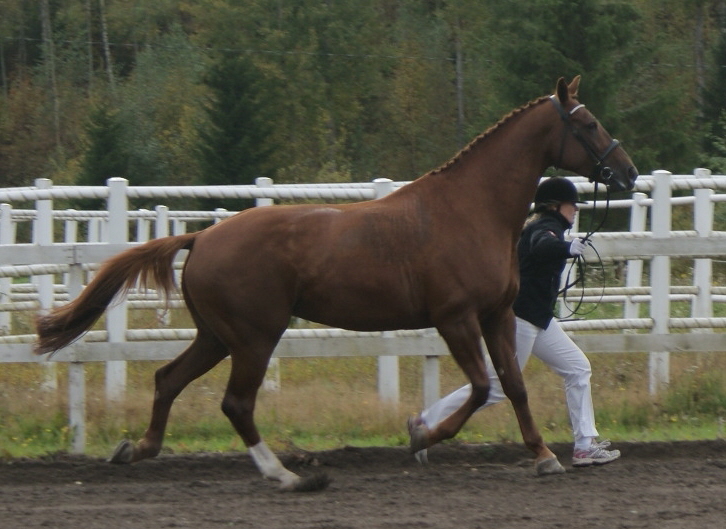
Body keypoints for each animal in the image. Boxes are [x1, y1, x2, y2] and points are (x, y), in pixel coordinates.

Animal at [34, 77, 636, 490]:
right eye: (587, 124)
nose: (628, 173)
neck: (470, 211)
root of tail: (202, 237)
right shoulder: (456, 318)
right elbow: (483, 387)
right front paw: (421, 436)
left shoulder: (495, 315)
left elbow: (512, 385)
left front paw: (544, 456)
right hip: (254, 338)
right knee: (236, 404)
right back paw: (288, 476)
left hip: (216, 336)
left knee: (167, 380)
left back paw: (137, 450)